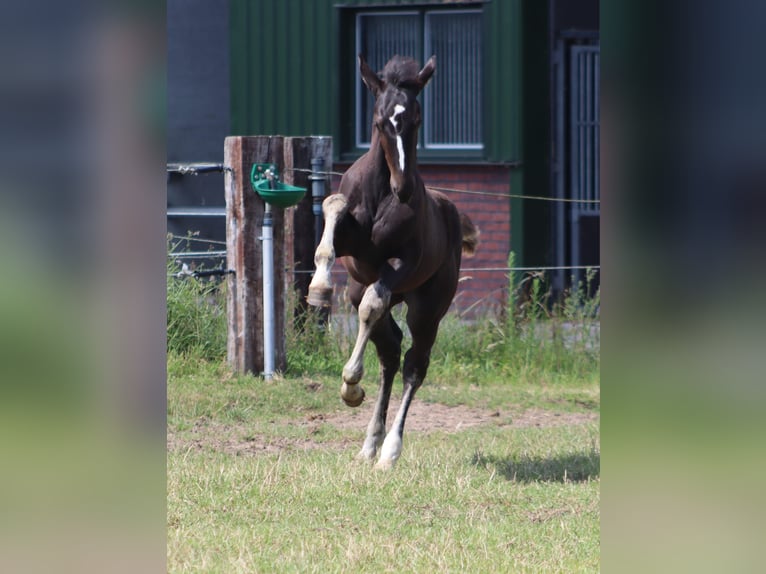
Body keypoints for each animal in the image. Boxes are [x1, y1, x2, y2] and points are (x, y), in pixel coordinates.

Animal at [308, 54, 480, 470]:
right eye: (380, 121)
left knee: (414, 364)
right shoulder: (353, 244)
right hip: (361, 289)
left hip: (427, 308)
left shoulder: (401, 262)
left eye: (416, 119)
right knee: (389, 353)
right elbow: (331, 208)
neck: (380, 193)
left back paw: (388, 450)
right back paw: (368, 441)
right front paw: (318, 289)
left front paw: (351, 379)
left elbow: (373, 304)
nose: (403, 189)